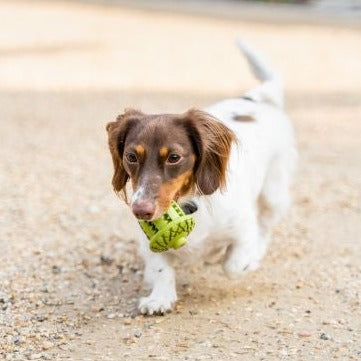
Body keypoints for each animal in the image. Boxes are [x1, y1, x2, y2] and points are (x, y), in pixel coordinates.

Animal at [106, 40, 296, 314]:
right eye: (131, 156)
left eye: (174, 157)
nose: (141, 211)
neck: (190, 203)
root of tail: (256, 99)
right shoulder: (147, 242)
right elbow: (160, 267)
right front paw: (159, 297)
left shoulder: (242, 227)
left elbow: (233, 264)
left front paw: (243, 260)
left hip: (274, 193)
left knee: (266, 226)